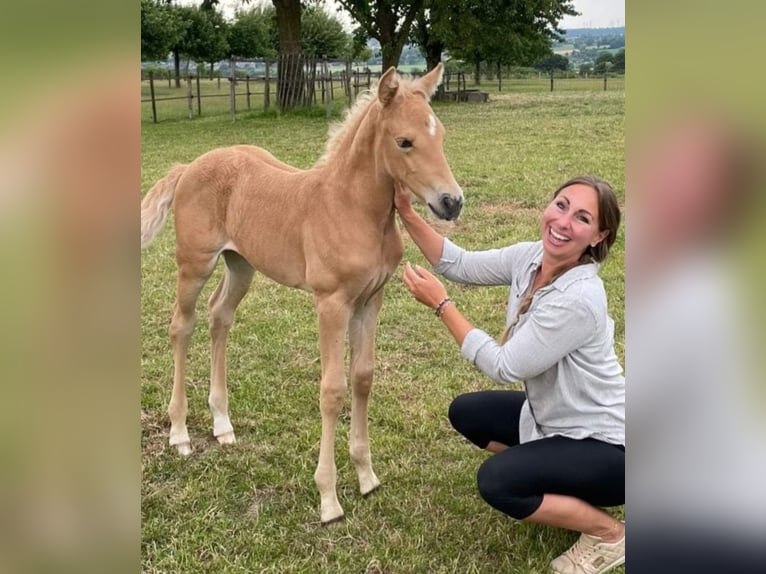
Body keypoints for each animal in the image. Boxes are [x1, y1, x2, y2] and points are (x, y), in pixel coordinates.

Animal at [140, 64, 462, 528]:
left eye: (441, 135)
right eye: (405, 141)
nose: (452, 202)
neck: (351, 209)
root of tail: (189, 167)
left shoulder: (370, 300)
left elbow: (363, 378)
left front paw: (367, 476)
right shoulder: (331, 304)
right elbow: (332, 390)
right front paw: (328, 498)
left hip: (241, 264)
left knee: (220, 317)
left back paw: (223, 424)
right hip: (194, 265)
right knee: (182, 326)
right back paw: (179, 433)